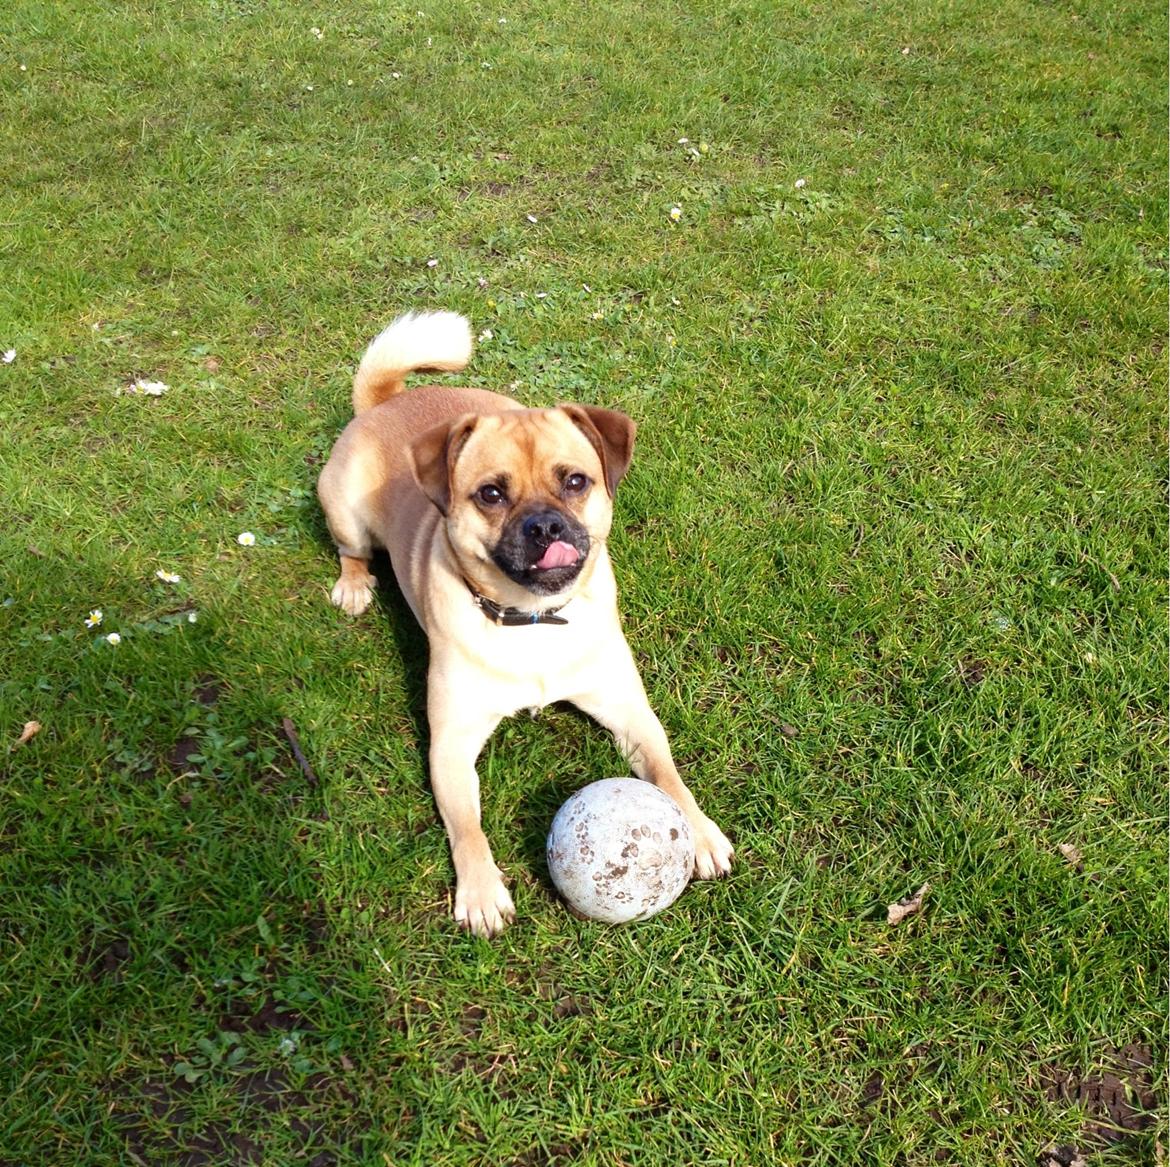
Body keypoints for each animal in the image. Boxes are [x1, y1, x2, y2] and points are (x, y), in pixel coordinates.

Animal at [318, 309, 730, 936]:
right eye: (491, 494)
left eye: (576, 482)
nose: (545, 526)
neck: (533, 618)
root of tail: (384, 401)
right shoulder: (451, 745)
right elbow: (467, 826)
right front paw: (481, 891)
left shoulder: (629, 711)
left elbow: (666, 771)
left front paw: (698, 830)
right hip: (345, 512)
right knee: (351, 549)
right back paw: (354, 584)